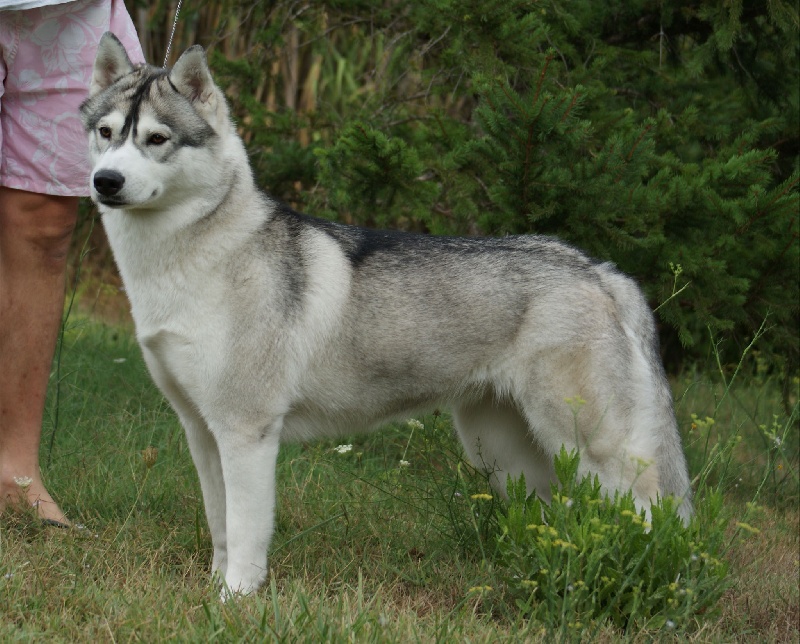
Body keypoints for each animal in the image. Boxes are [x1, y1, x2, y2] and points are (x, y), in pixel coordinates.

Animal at [81, 33, 692, 598]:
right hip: (507, 453)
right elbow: (221, 528)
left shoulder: (246, 433)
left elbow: (247, 533)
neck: (186, 259)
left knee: (653, 515)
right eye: (106, 133)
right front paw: (212, 592)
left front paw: (235, 601)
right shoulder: (202, 433)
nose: (105, 182)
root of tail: (598, 269)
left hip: (591, 449)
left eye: (157, 139)